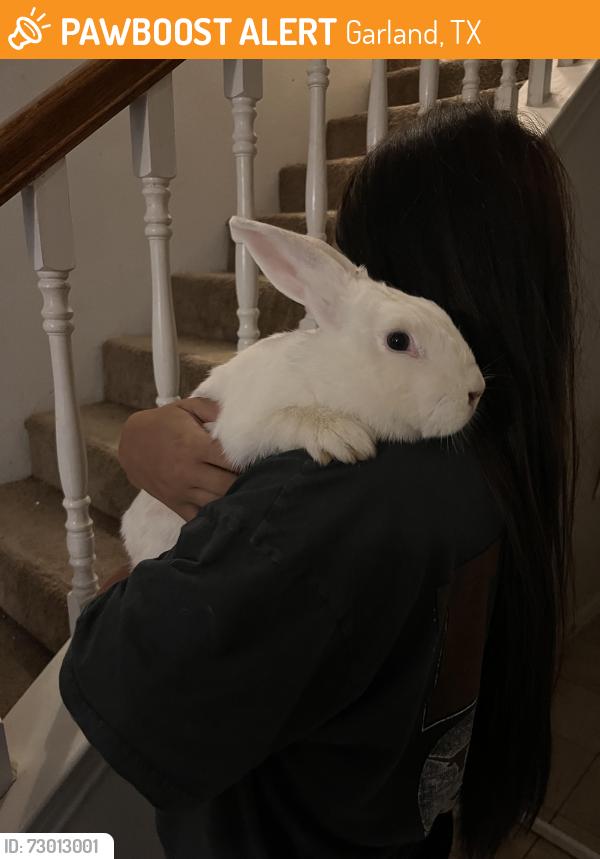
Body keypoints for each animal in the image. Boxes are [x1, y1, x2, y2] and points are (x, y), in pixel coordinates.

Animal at [121, 215, 485, 567]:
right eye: (398, 340)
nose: (475, 392)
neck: (329, 376)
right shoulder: (243, 425)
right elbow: (286, 417)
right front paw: (344, 438)